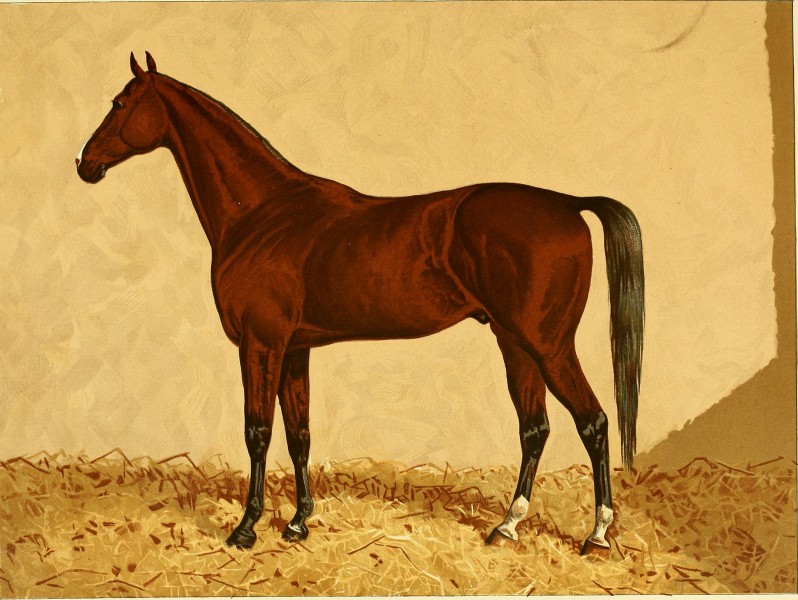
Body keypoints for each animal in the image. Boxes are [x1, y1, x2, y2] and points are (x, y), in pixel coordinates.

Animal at [76, 53, 644, 554]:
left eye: (121, 102)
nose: (85, 163)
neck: (263, 212)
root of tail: (569, 204)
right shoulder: (294, 349)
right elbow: (299, 433)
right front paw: (298, 523)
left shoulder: (260, 345)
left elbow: (258, 432)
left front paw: (246, 528)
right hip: (515, 343)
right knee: (534, 428)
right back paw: (506, 527)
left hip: (548, 345)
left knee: (593, 422)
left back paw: (596, 535)